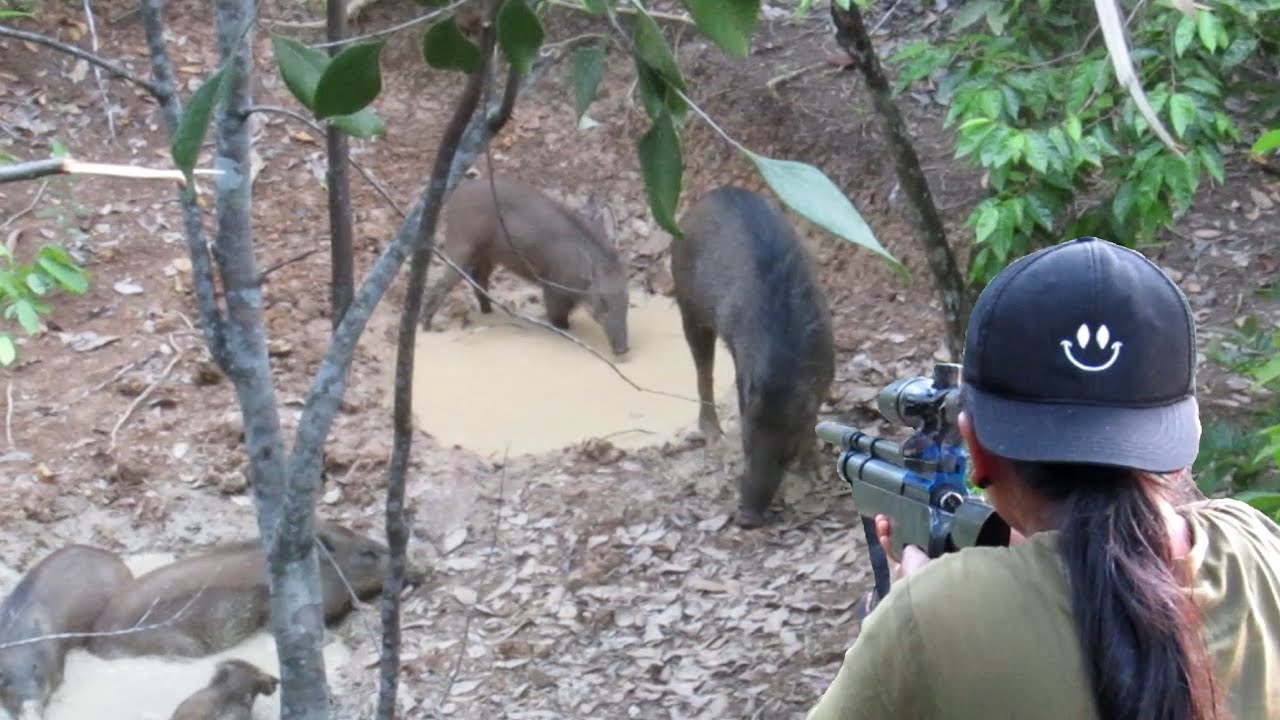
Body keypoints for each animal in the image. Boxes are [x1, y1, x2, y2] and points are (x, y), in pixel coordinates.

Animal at [419, 175, 631, 357]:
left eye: (626, 295)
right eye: (602, 301)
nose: (622, 349)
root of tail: (454, 199)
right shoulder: (552, 290)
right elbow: (559, 321)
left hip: (486, 255)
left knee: (479, 279)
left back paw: (488, 311)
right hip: (461, 247)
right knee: (444, 283)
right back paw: (426, 325)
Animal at [670, 186, 836, 529]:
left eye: (786, 454)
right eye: (746, 442)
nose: (747, 517)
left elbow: (813, 419)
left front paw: (812, 469)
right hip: (688, 306)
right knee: (703, 372)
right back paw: (713, 435)